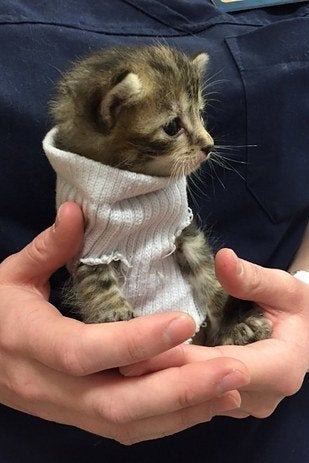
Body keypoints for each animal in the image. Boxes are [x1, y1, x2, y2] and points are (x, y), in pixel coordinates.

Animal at [47, 45, 270, 346]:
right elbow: (97, 283)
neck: (135, 186)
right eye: (173, 127)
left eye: (200, 115)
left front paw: (231, 324)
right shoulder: (92, 247)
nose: (209, 145)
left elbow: (209, 276)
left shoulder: (184, 230)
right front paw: (113, 313)